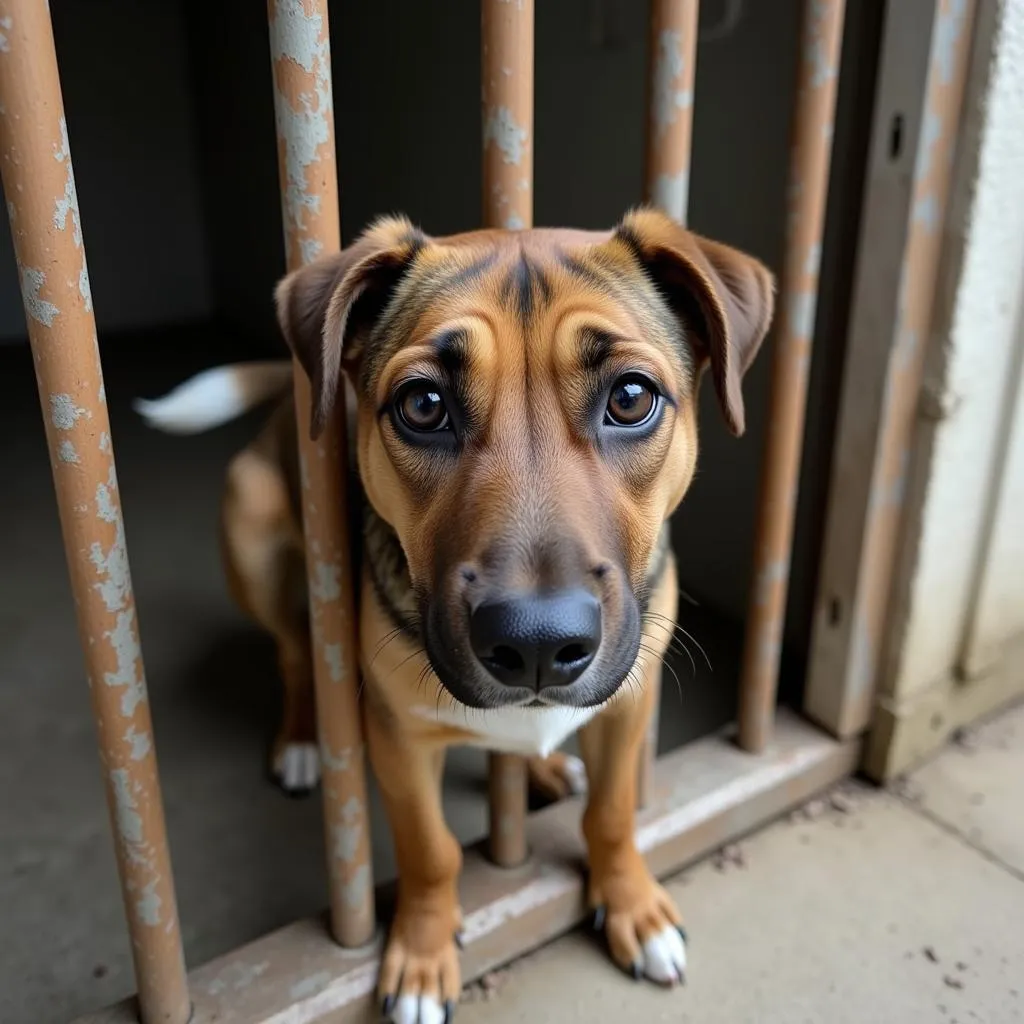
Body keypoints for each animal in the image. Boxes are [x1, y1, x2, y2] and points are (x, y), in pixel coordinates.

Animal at [138, 205, 774, 1015]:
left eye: (631, 399)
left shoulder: (630, 702)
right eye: (424, 405)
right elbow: (431, 850)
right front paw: (420, 955)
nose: (537, 645)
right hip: (251, 531)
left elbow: (611, 812)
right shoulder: (398, 738)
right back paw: (305, 739)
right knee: (294, 654)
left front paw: (633, 904)